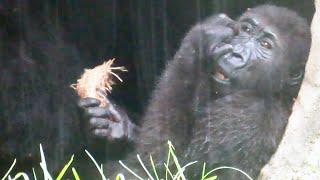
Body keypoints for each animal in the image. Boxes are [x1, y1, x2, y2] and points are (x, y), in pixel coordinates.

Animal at [78, 4, 310, 179]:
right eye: (246, 29)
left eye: (265, 45)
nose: (235, 53)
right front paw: (118, 125)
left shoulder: (247, 114)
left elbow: (158, 165)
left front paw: (200, 38)